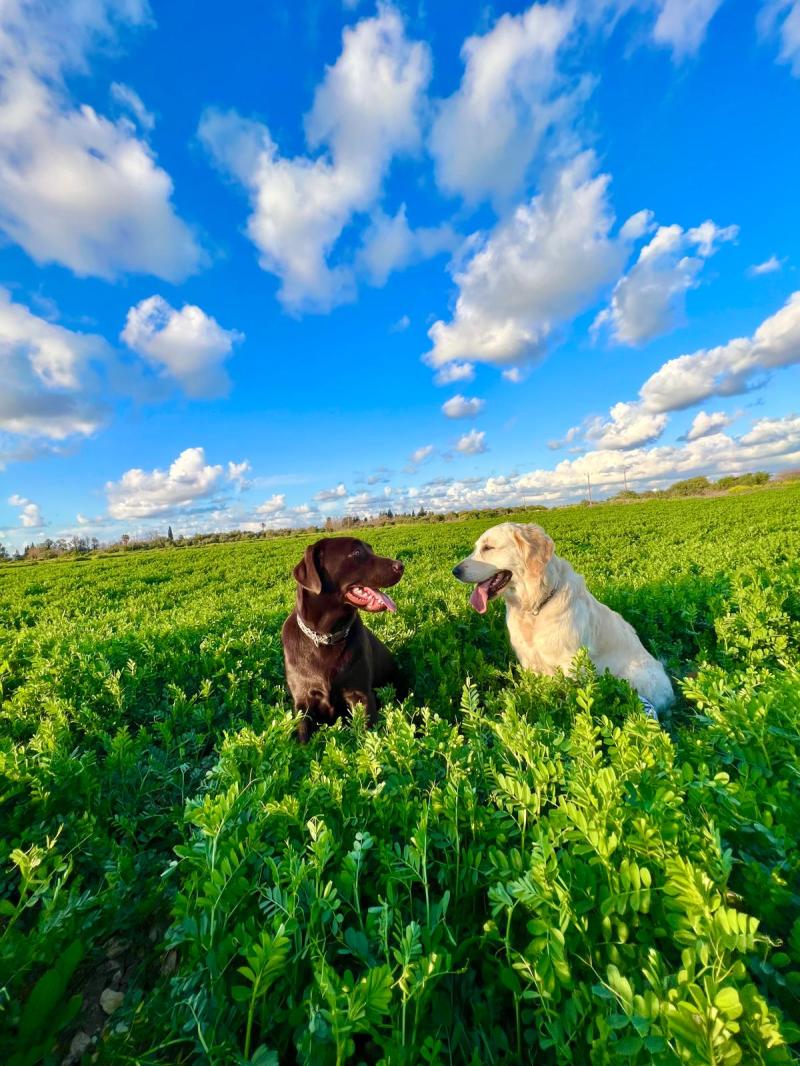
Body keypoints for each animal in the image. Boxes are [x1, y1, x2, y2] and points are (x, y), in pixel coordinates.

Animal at [283, 541, 407, 741]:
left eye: (371, 549)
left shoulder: (361, 695)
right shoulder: (303, 703)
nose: (401, 565)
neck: (326, 637)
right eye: (356, 552)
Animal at [454, 520, 674, 712]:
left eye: (488, 547)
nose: (454, 571)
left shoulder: (571, 665)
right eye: (477, 547)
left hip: (636, 678)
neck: (535, 606)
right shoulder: (528, 662)